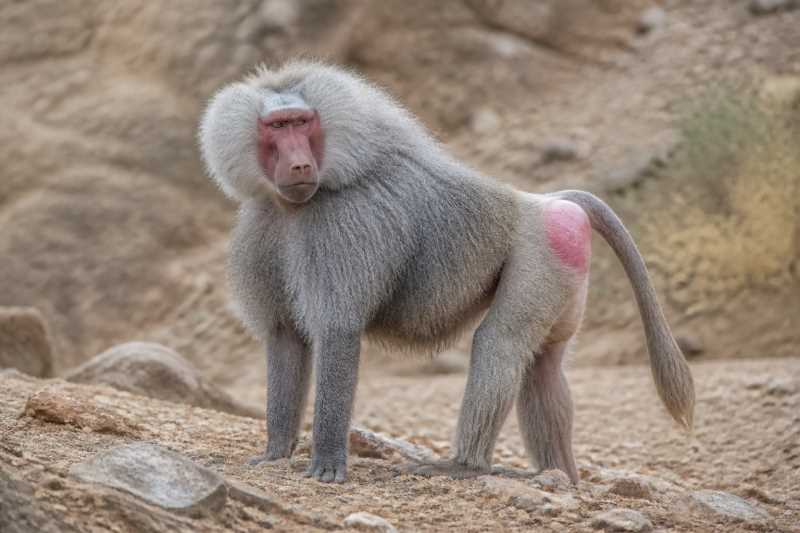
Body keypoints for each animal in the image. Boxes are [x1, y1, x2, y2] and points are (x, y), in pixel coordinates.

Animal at [198, 60, 695, 484]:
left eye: (303, 122)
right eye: (277, 127)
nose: (300, 164)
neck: (295, 205)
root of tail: (547, 200)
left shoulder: (345, 224)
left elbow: (338, 330)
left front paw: (326, 464)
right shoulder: (263, 228)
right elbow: (284, 336)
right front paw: (275, 452)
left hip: (544, 252)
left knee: (500, 342)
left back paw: (464, 466)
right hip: (567, 260)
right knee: (544, 367)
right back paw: (559, 476)